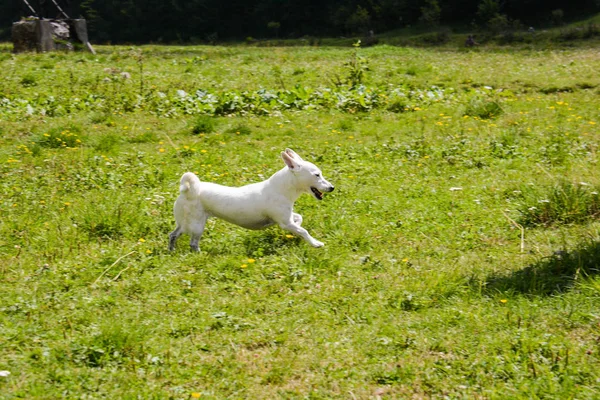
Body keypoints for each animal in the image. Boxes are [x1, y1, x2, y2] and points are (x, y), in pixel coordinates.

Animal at [169, 148, 336, 252]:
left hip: (186, 223)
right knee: (192, 242)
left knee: (173, 234)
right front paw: (315, 243)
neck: (282, 188)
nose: (332, 187)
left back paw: (172, 250)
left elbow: (299, 219)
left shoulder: (287, 218)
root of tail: (188, 191)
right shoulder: (285, 222)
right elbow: (304, 231)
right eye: (317, 175)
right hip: (196, 224)